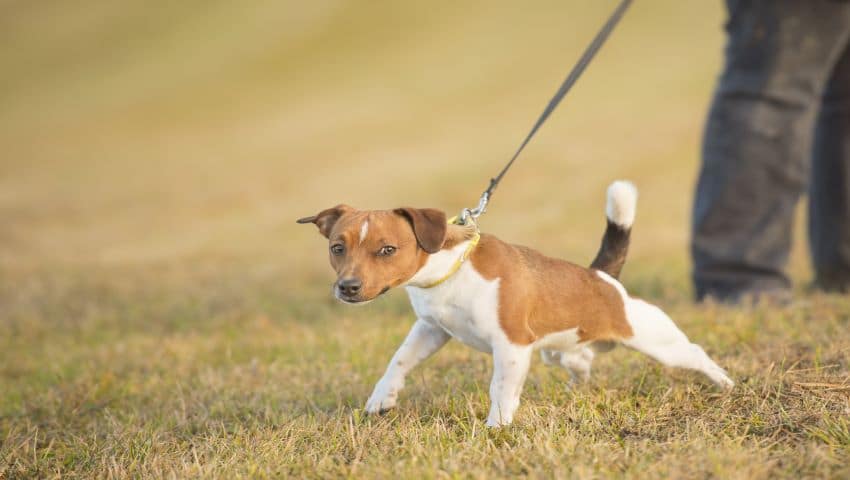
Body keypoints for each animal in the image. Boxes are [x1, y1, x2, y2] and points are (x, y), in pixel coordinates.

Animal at [296, 181, 728, 428]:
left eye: (387, 249)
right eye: (337, 248)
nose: (347, 288)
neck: (451, 271)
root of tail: (602, 276)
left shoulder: (512, 345)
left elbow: (501, 388)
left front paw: (497, 427)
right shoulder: (431, 330)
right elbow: (398, 361)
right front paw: (381, 399)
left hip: (658, 341)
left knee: (695, 353)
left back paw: (725, 384)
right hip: (560, 351)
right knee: (582, 362)